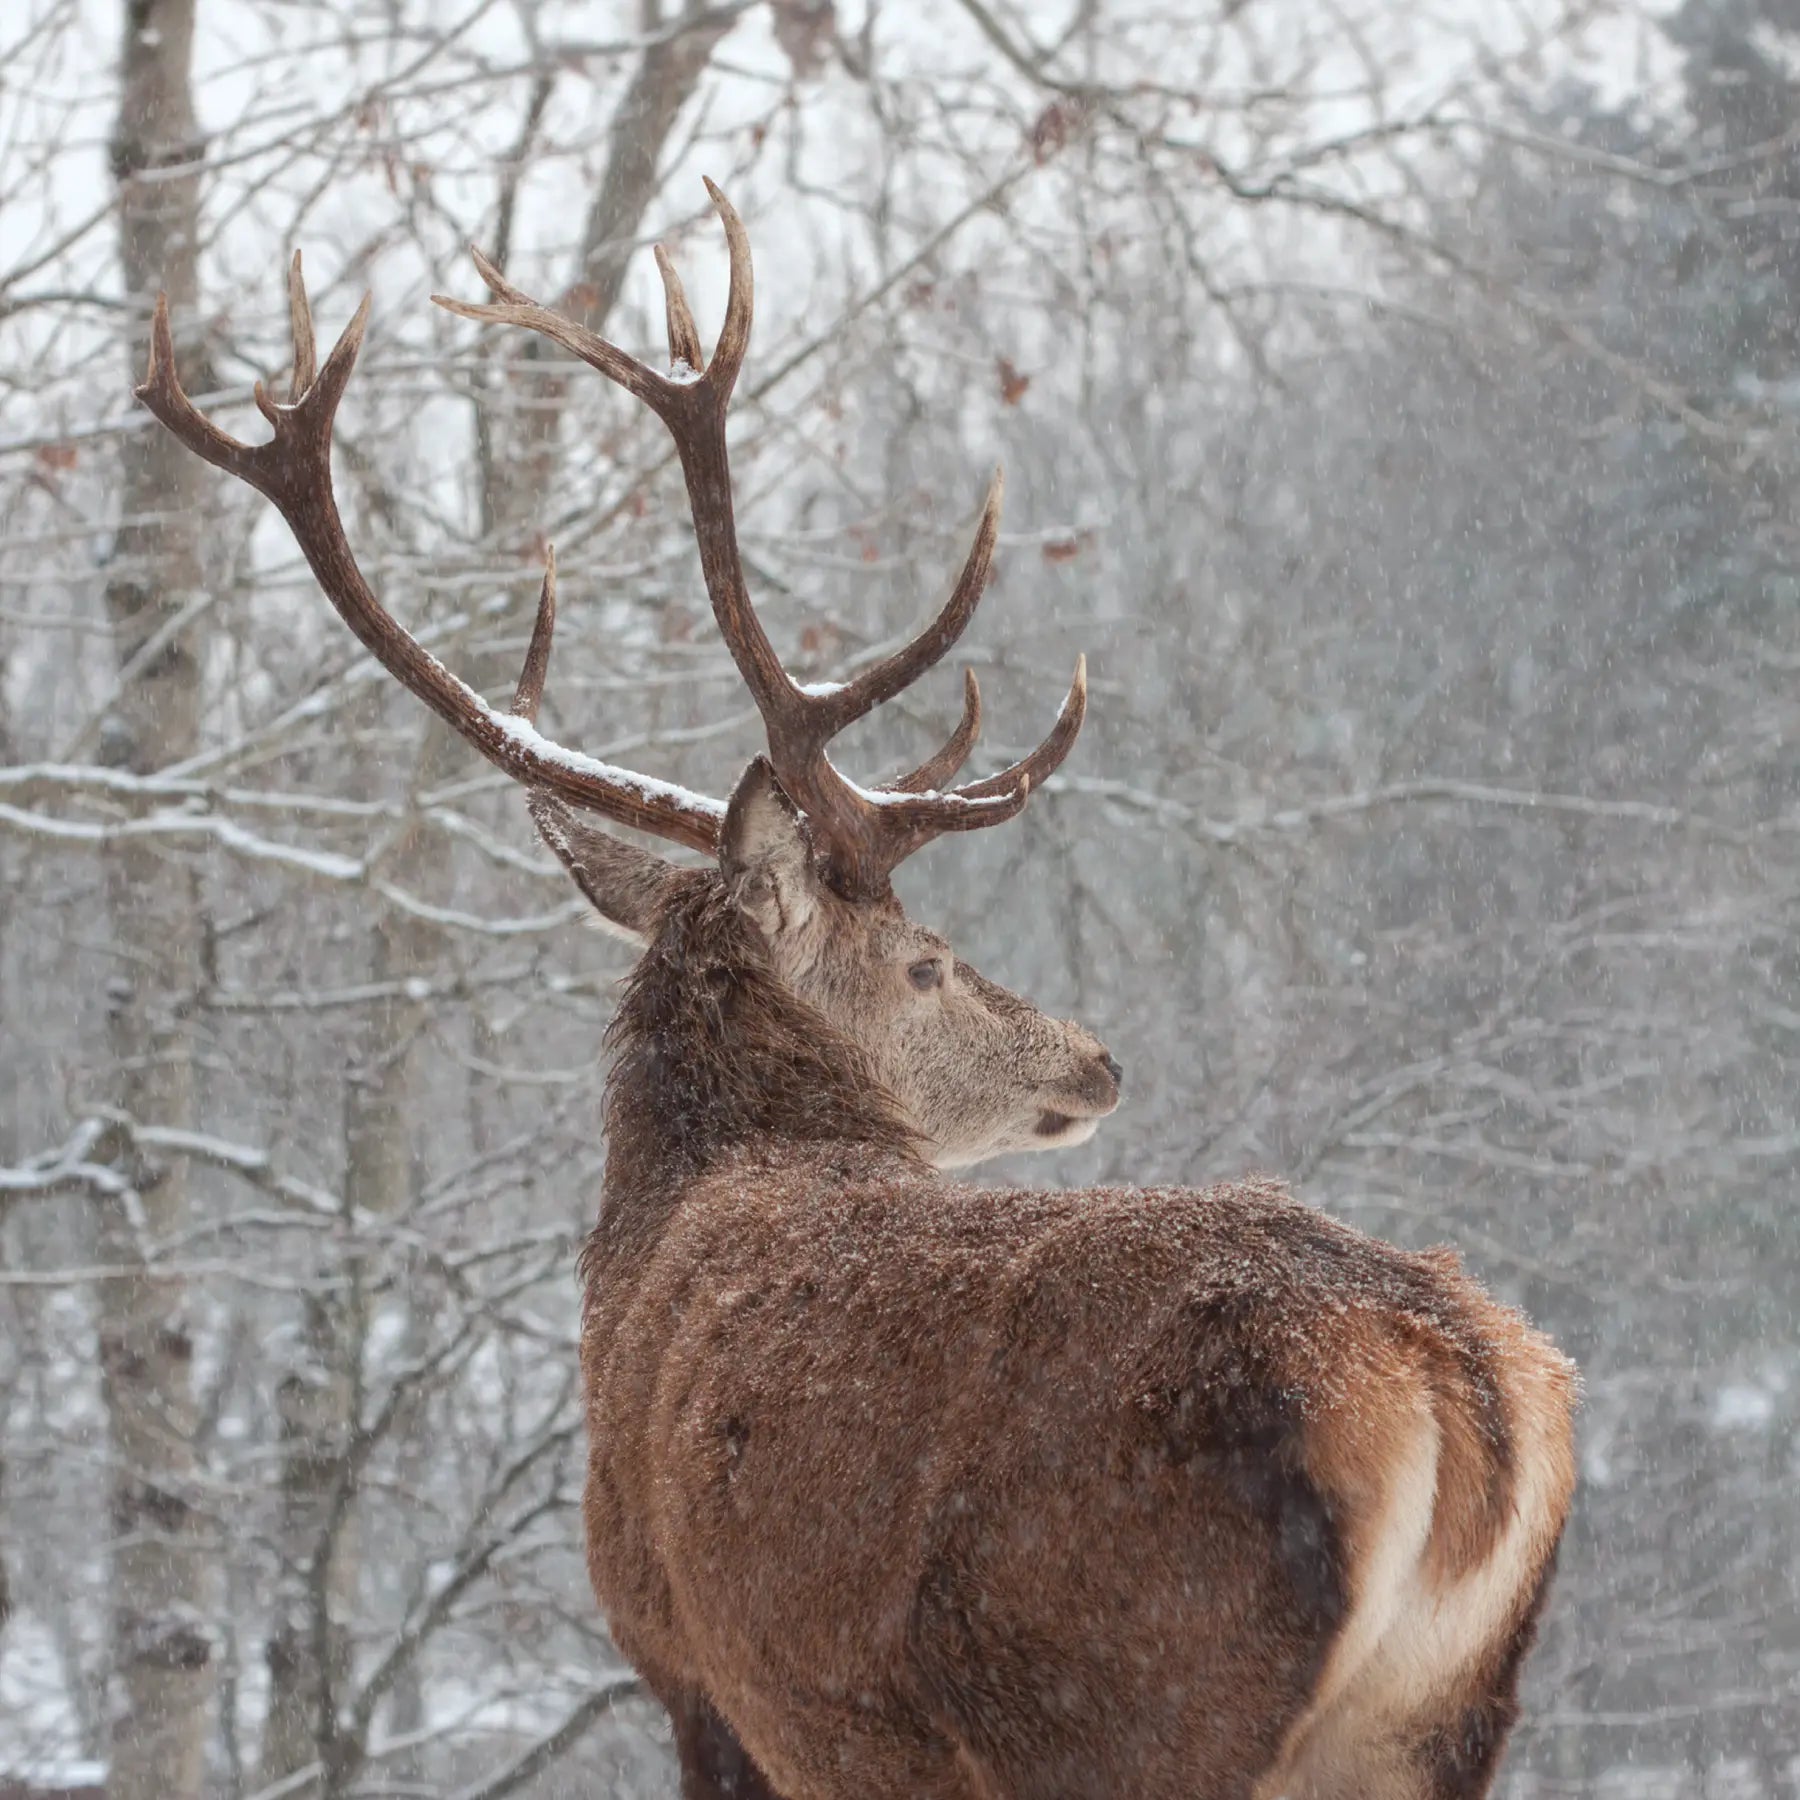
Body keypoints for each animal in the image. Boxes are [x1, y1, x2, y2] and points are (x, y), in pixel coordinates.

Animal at [136, 182, 1578, 1800]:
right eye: (926, 960)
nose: (1097, 1057)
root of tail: (1467, 1387)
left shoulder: (691, 1665)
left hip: (1132, 1689)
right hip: (1430, 1715)